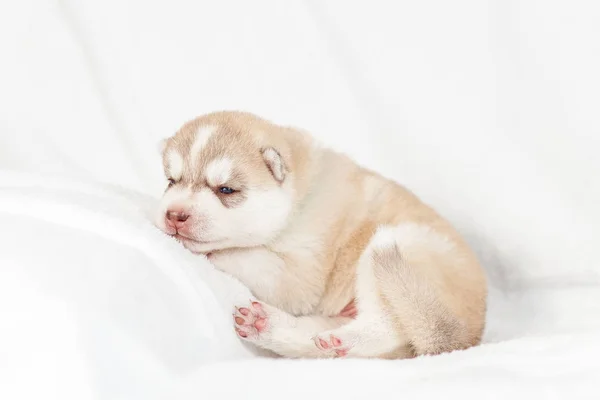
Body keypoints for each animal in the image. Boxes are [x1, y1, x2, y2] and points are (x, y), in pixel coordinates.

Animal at [155, 111, 488, 360]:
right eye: (171, 181)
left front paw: (213, 253)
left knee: (384, 327)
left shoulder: (301, 276)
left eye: (226, 190)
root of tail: (465, 336)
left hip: (398, 253)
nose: (174, 215)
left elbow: (247, 257)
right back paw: (267, 326)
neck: (297, 199)